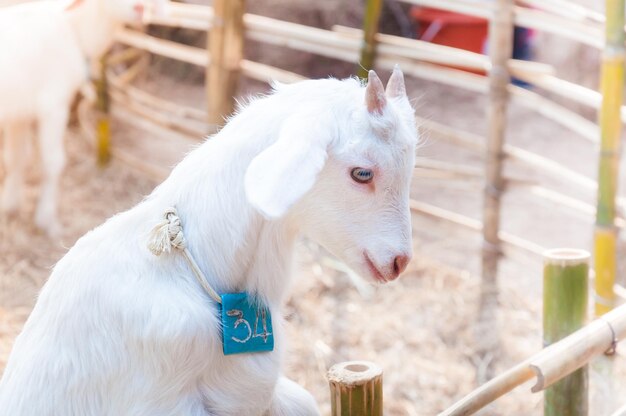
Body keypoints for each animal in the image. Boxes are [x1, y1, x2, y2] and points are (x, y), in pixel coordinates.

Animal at [0, 0, 163, 237]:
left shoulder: (19, 114)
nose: (140, 9)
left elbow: (16, 158)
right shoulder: (54, 106)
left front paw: (9, 205)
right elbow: (53, 162)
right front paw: (48, 221)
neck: (74, 28)